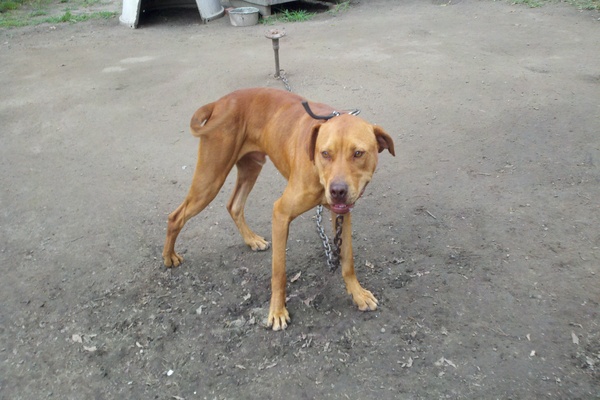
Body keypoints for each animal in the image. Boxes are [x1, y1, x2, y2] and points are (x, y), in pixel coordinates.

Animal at [162, 87, 395, 330]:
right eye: (325, 153)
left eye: (358, 153)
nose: (337, 190)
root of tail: (220, 102)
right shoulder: (281, 213)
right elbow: (279, 272)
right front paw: (277, 311)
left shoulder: (342, 213)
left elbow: (348, 260)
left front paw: (358, 294)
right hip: (210, 178)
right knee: (176, 216)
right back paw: (169, 257)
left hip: (251, 166)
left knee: (234, 205)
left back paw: (251, 240)